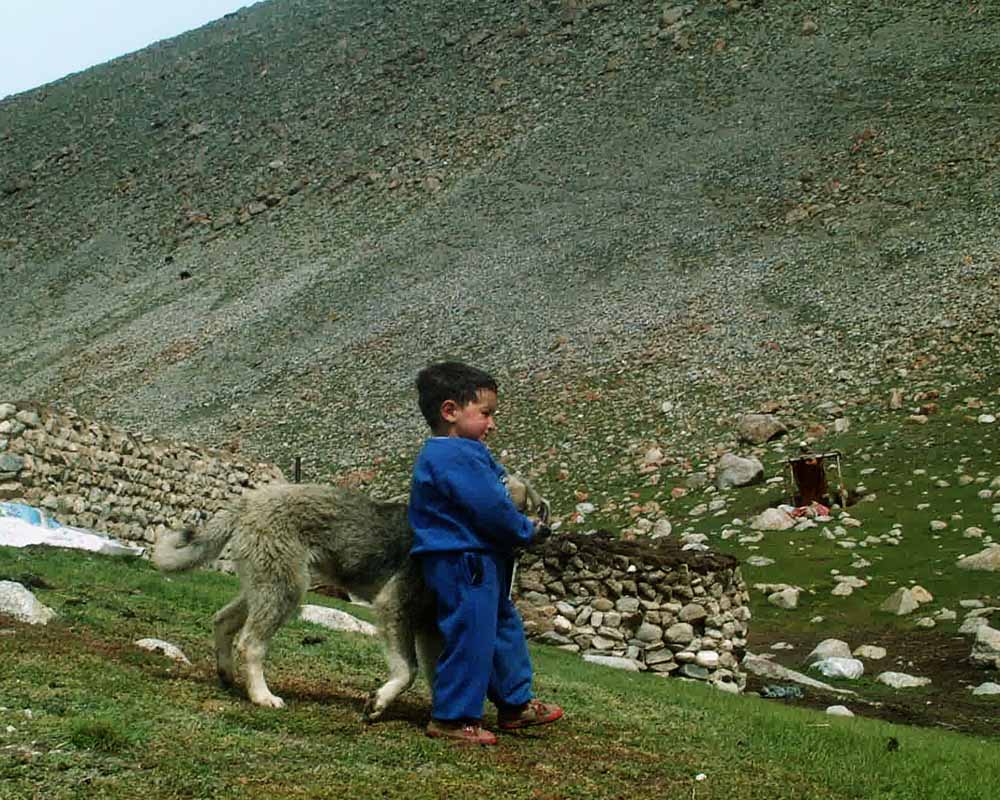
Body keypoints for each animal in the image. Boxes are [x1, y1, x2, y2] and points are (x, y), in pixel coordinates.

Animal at [152, 476, 552, 720]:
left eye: (540, 508)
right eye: (521, 507)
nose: (548, 530)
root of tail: (250, 499)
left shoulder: (430, 627)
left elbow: (440, 674)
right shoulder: (394, 607)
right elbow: (407, 670)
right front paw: (379, 702)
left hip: (266, 586)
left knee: (222, 620)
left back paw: (226, 675)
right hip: (285, 590)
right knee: (251, 643)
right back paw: (262, 696)